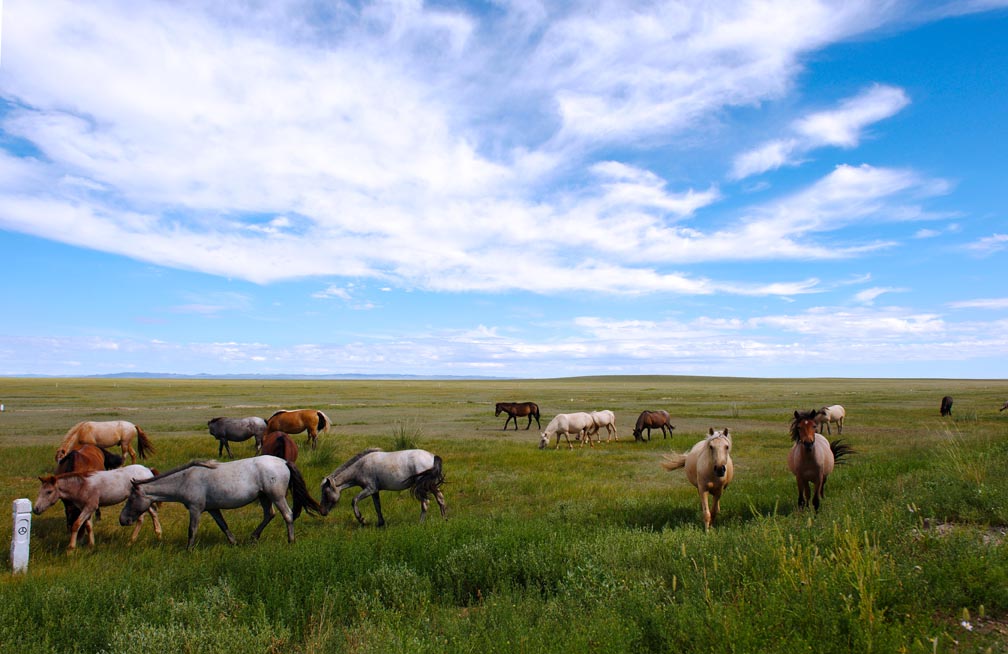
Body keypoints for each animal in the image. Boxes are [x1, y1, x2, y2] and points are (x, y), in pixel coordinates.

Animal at [33, 463, 161, 552]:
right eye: (39, 491)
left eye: (49, 492)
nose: (36, 509)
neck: (82, 486)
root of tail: (148, 470)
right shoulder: (86, 508)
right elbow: (89, 526)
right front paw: (91, 545)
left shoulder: (90, 507)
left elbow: (76, 525)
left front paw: (70, 548)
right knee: (153, 513)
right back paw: (158, 535)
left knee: (142, 519)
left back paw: (132, 541)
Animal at [119, 457, 320, 548]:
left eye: (131, 498)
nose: (122, 520)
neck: (185, 479)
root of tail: (284, 462)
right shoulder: (213, 509)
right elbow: (223, 526)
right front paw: (233, 542)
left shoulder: (195, 509)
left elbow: (192, 530)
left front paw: (188, 550)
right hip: (264, 497)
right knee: (269, 515)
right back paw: (253, 536)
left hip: (276, 496)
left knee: (287, 515)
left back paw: (290, 540)